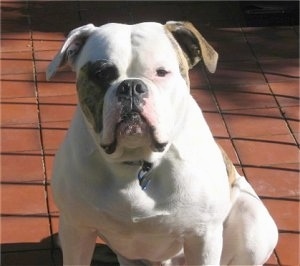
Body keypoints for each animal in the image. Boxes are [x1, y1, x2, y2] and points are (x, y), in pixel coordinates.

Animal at [47, 21, 278, 266]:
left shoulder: (203, 236)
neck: (137, 161)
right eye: (101, 73)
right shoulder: (76, 231)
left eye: (161, 72)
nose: (131, 86)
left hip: (252, 221)